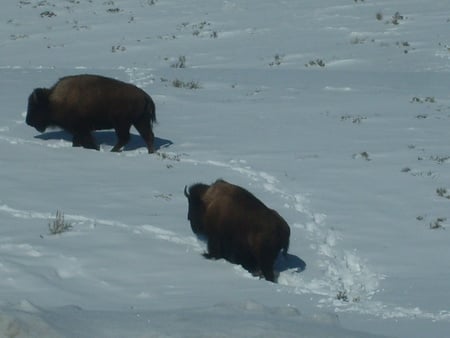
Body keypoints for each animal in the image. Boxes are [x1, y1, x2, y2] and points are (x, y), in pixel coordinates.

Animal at [26, 75, 157, 153]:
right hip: (140, 121)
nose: (28, 121)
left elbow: (87, 141)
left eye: (34, 107)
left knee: (125, 138)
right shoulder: (78, 130)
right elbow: (77, 141)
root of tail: (144, 96)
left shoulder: (82, 129)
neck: (52, 101)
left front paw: (95, 148)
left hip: (122, 124)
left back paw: (112, 151)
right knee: (148, 136)